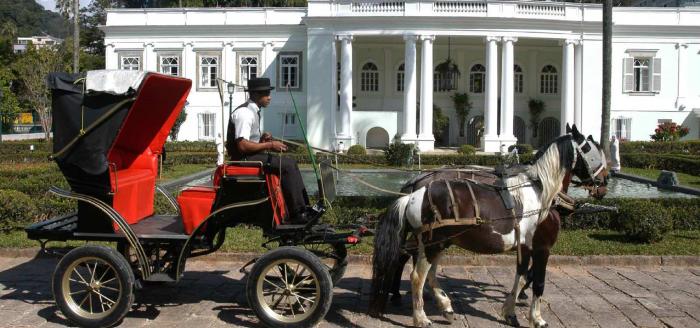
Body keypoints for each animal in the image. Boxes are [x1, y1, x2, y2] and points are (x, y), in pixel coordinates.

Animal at [372, 125, 608, 328]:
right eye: (593, 151)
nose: (606, 181)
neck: (542, 191)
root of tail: (414, 194)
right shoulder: (542, 247)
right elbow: (538, 282)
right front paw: (537, 318)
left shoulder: (525, 246)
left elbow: (521, 275)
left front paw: (510, 311)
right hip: (432, 243)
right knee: (417, 276)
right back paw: (420, 317)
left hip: (439, 242)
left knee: (427, 271)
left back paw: (443, 305)